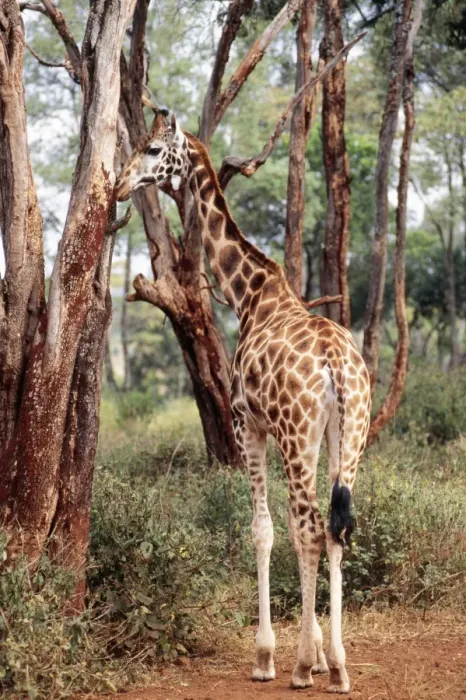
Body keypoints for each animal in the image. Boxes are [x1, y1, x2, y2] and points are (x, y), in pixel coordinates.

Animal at [115, 111, 371, 694]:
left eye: (154, 149)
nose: (118, 186)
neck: (248, 294)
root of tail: (335, 363)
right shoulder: (297, 433)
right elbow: (293, 528)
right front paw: (317, 655)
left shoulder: (245, 425)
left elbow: (263, 530)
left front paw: (269, 655)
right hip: (350, 435)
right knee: (336, 527)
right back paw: (339, 668)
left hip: (297, 437)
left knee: (310, 527)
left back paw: (299, 667)